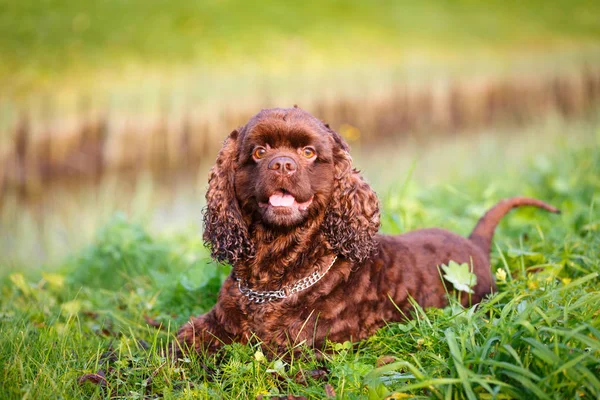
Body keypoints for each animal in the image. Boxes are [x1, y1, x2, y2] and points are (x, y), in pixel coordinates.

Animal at [176, 105, 560, 356]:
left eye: (308, 152)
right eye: (259, 151)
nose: (282, 164)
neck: (274, 276)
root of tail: (474, 243)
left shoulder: (303, 350)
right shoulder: (210, 324)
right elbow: (175, 347)